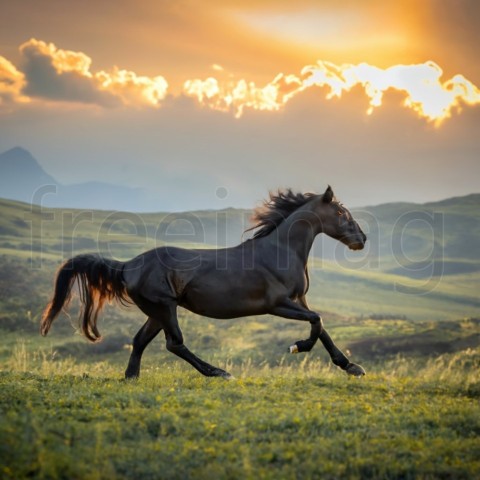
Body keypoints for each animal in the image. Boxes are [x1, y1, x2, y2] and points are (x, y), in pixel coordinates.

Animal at [41, 187, 368, 378]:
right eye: (340, 212)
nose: (361, 239)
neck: (280, 251)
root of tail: (128, 266)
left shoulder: (299, 300)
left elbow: (322, 327)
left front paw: (351, 366)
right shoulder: (278, 304)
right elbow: (317, 321)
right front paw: (298, 347)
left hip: (157, 311)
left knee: (140, 340)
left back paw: (131, 376)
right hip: (165, 308)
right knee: (175, 343)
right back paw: (218, 372)